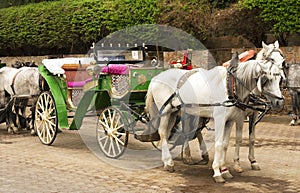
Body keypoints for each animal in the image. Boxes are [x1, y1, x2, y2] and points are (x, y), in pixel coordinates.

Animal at [145, 53, 284, 182]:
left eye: (279, 79)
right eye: (266, 79)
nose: (280, 102)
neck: (231, 87)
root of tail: (157, 78)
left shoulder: (230, 120)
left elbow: (225, 144)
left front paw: (225, 169)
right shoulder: (220, 119)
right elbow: (218, 144)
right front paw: (217, 172)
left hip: (174, 112)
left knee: (170, 132)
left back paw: (169, 159)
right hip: (165, 111)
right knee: (163, 133)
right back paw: (169, 162)